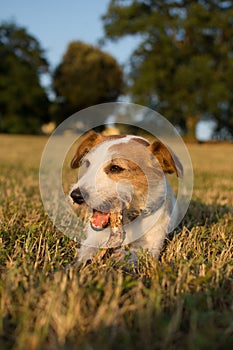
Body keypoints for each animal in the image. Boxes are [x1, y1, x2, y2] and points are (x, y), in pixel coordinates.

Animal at [68, 131, 182, 262]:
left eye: (116, 168)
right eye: (87, 163)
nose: (75, 196)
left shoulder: (151, 245)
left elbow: (135, 255)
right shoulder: (94, 237)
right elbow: (87, 250)